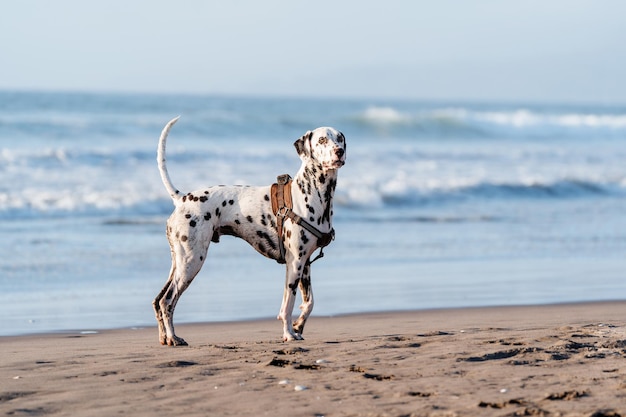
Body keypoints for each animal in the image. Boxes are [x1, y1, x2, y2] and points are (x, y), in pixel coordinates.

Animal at [152, 117, 346, 344]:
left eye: (340, 138)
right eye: (322, 140)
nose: (339, 151)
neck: (312, 194)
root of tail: (182, 198)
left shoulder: (305, 264)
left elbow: (309, 303)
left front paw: (298, 327)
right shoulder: (295, 263)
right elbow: (287, 306)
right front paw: (289, 333)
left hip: (179, 263)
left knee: (157, 300)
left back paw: (165, 337)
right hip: (191, 263)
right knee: (167, 301)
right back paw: (173, 337)